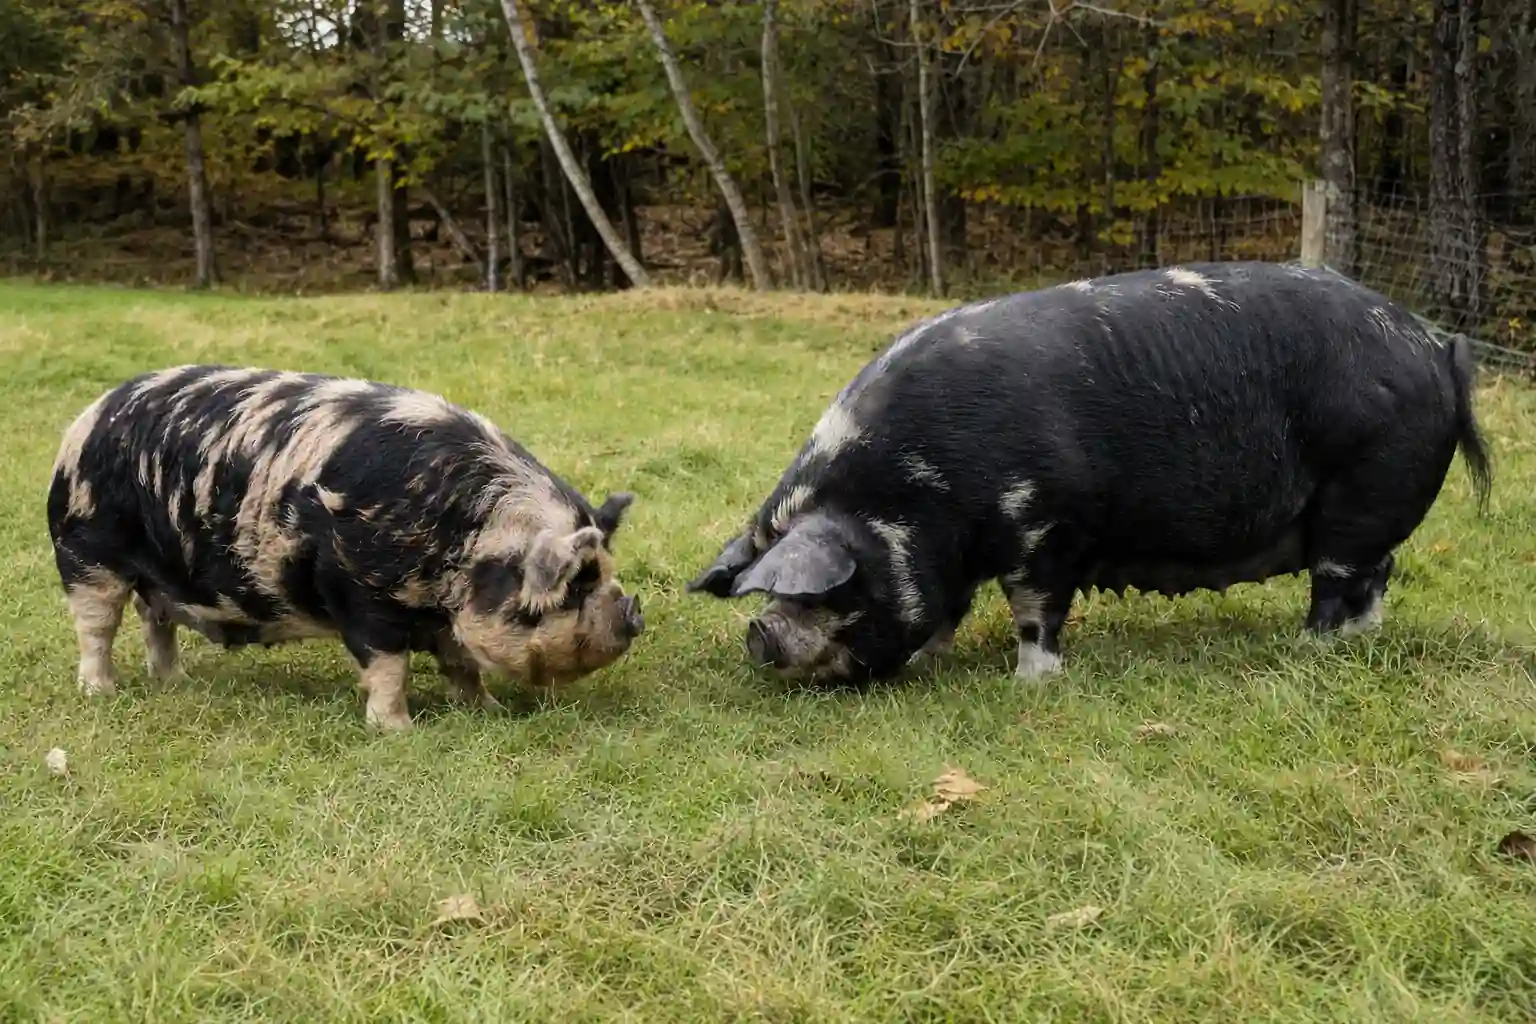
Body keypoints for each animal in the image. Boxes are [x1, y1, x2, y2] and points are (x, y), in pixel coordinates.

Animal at [46, 365, 645, 730]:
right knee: (96, 627)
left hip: (155, 576)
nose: (633, 609)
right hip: (87, 550)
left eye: (603, 572)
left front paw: (489, 709)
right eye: (576, 583)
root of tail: (86, 418)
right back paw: (102, 692)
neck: (464, 540)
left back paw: (176, 680)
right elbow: (388, 666)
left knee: (157, 620)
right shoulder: (362, 592)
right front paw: (398, 730)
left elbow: (461, 666)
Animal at [688, 261, 1493, 686]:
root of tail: (1435, 345)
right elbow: (948, 607)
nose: (759, 632)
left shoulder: (1047, 528)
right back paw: (1359, 642)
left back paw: (1309, 649)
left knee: (1340, 579)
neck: (917, 493)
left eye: (834, 590)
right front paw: (935, 658)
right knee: (1379, 574)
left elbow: (1036, 611)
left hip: (1362, 489)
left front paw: (1030, 684)